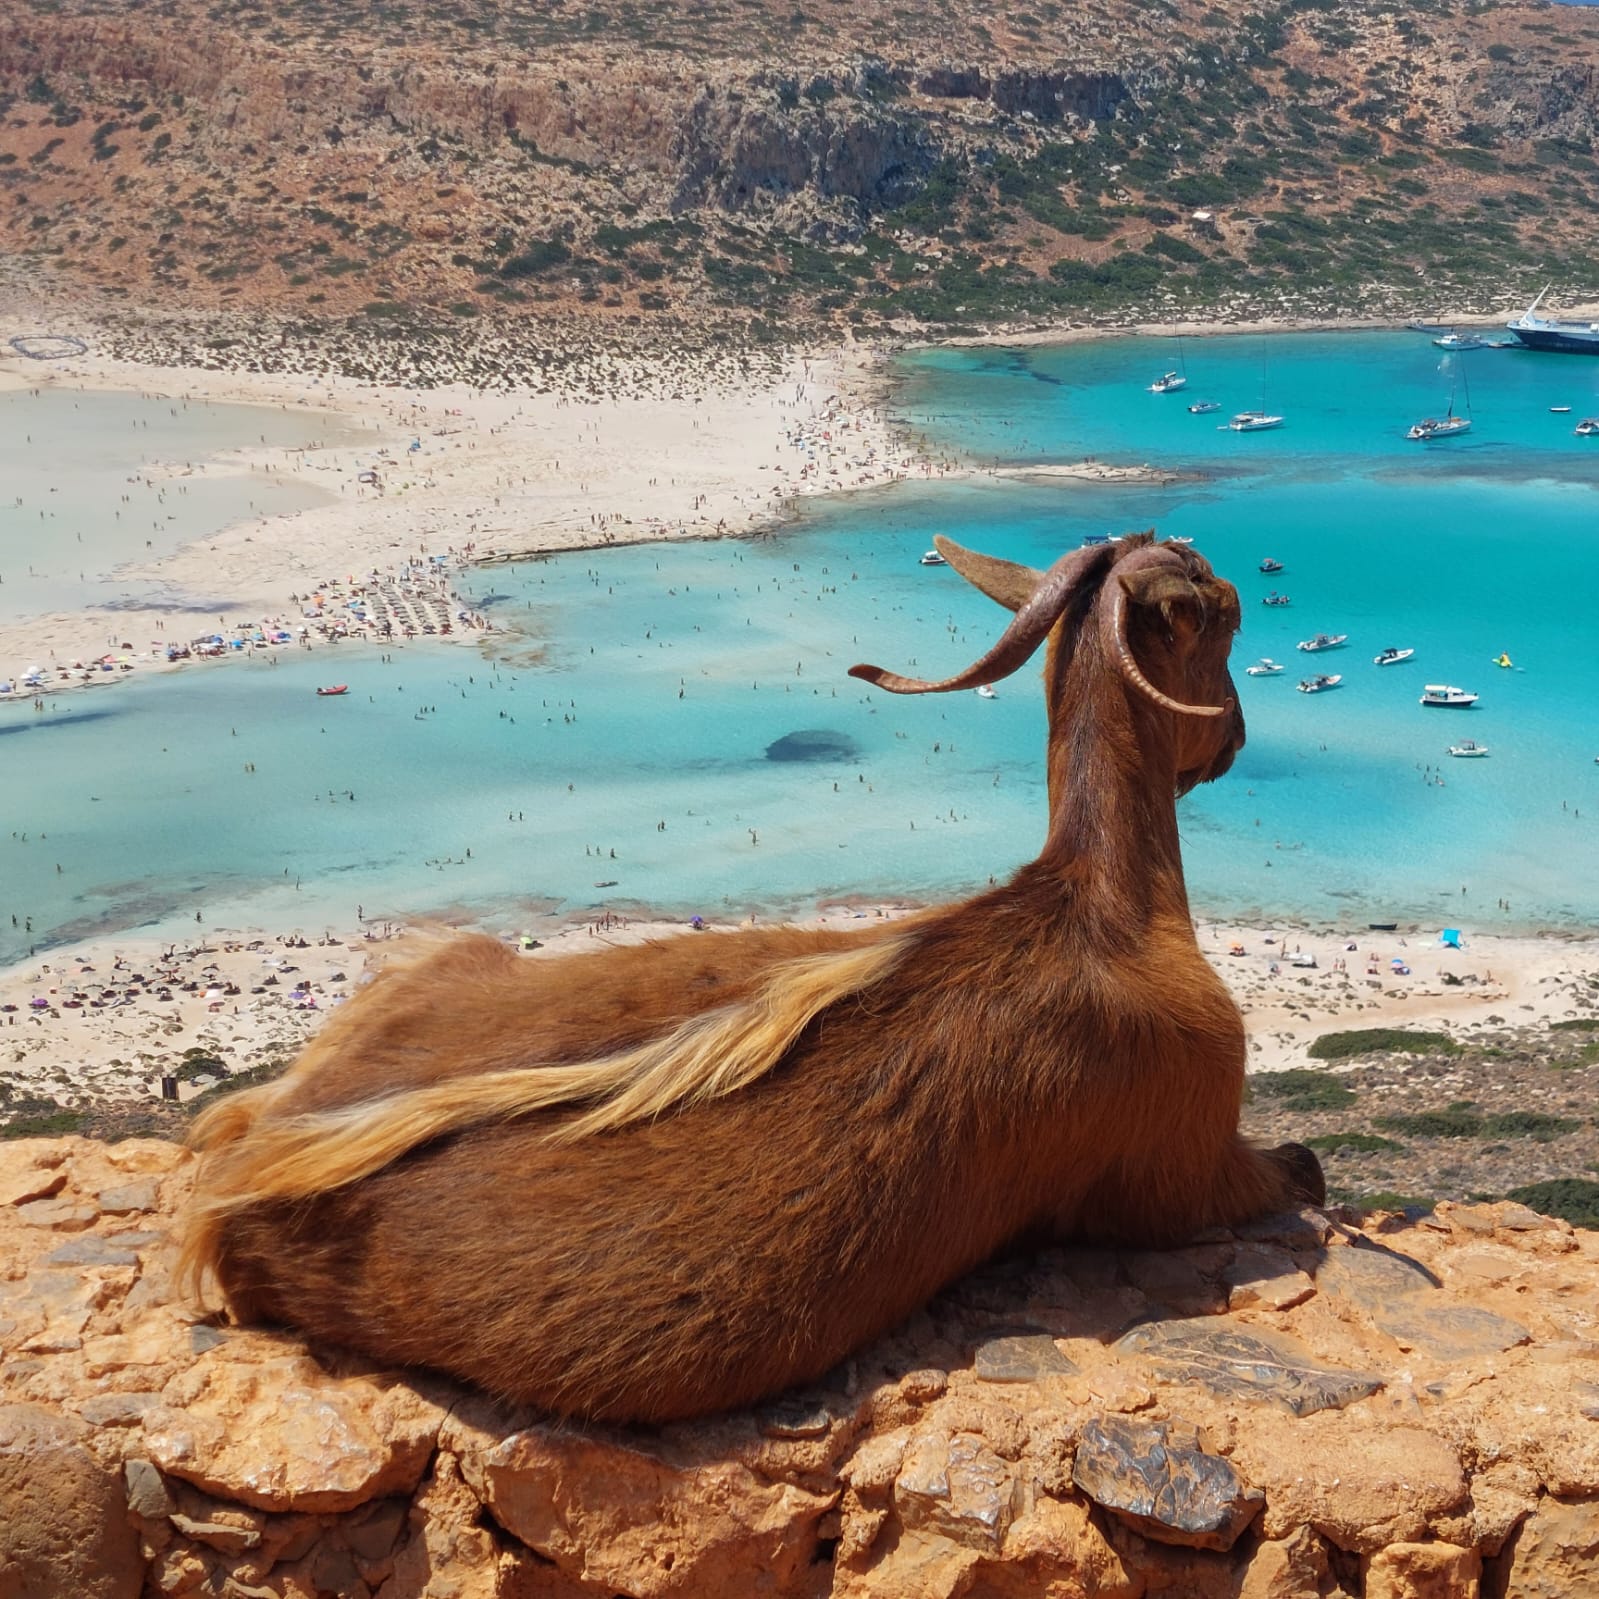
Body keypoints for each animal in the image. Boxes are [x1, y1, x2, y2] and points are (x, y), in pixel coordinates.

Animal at [181, 532, 1323, 1425]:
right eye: (1222, 618)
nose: (1230, 741)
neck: (1103, 911)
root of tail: (254, 1165)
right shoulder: (1184, 1161)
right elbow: (1293, 1173)